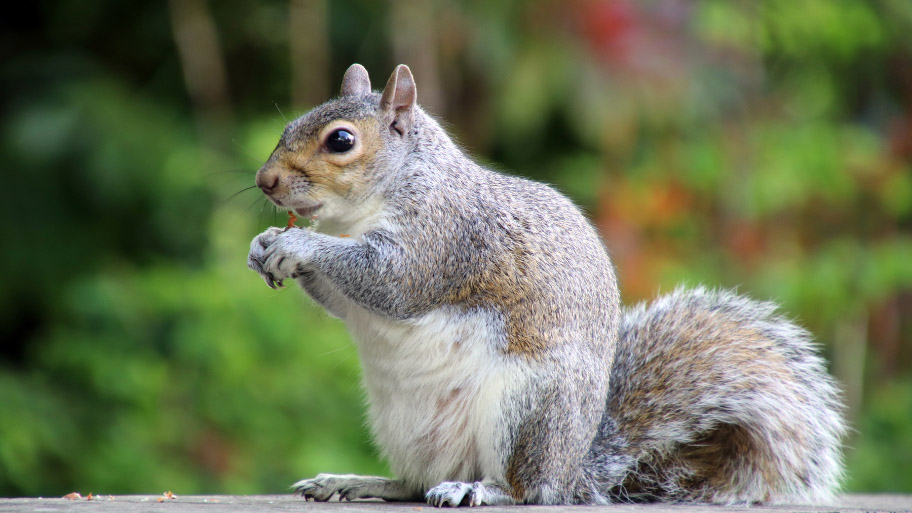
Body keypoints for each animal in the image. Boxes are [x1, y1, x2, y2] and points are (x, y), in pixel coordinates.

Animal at [248, 63, 848, 504]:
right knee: (415, 484)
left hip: (527, 407)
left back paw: (477, 490)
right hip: (405, 426)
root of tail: (573, 472)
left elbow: (390, 283)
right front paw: (265, 245)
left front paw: (299, 248)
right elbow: (343, 300)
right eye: (290, 124)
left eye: (341, 141)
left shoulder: (445, 241)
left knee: (524, 489)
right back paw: (357, 482)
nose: (265, 180)